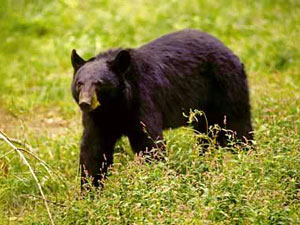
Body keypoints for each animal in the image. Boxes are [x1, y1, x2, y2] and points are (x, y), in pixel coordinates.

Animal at [70, 29, 253, 189]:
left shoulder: (143, 101)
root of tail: (229, 50)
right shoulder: (97, 119)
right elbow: (94, 150)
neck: (114, 107)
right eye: (79, 83)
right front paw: (90, 192)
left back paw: (247, 159)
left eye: (99, 84)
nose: (85, 103)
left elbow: (149, 142)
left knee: (237, 127)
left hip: (225, 87)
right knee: (207, 133)